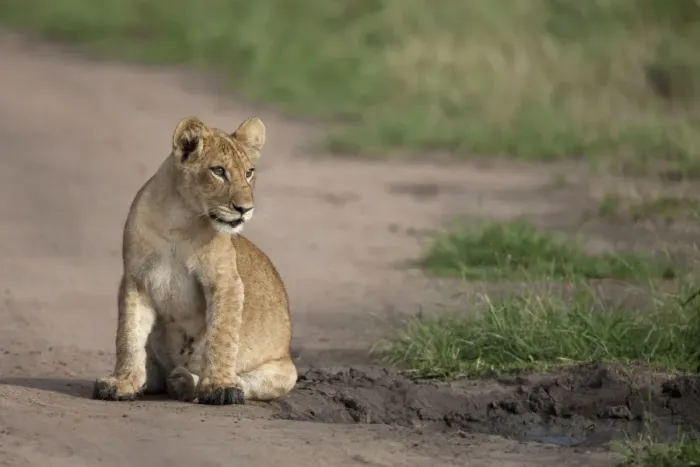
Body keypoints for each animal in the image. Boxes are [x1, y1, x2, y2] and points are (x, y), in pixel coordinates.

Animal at [92, 115, 297, 405]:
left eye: (249, 172)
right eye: (219, 171)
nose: (245, 209)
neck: (179, 221)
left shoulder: (225, 281)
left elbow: (222, 335)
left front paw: (219, 386)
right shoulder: (135, 280)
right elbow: (128, 334)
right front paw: (122, 382)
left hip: (285, 371)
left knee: (246, 380)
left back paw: (185, 382)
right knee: (155, 373)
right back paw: (152, 379)